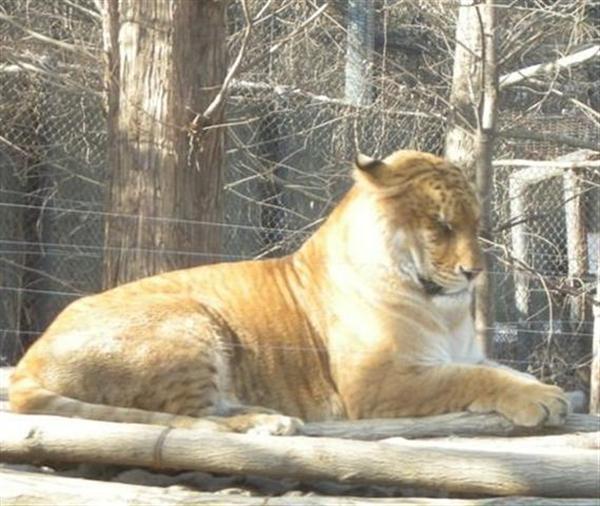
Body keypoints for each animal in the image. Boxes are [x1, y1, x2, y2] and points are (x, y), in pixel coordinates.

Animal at [11, 150, 568, 434]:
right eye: (441, 225)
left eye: (477, 225)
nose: (476, 273)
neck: (441, 309)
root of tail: (28, 361)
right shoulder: (375, 384)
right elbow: (469, 379)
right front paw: (540, 401)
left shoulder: (462, 353)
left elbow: (499, 369)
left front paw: (547, 390)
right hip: (189, 317)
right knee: (186, 420)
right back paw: (268, 424)